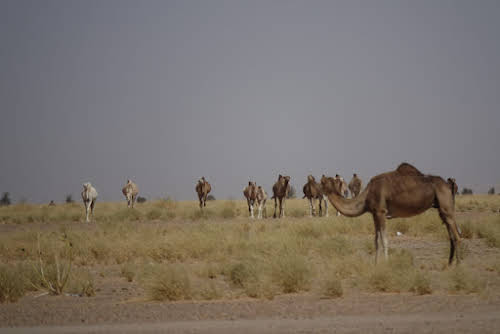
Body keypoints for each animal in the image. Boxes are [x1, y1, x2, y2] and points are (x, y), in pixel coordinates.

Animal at [320, 163, 460, 264]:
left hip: (446, 205)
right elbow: (376, 241)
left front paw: (386, 264)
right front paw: (376, 264)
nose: (319, 190)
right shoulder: (374, 214)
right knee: (451, 236)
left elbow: (384, 240)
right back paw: (448, 264)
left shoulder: (381, 212)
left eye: (323, 182)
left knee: (457, 236)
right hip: (441, 208)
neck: (367, 195)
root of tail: (448, 184)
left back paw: (458, 266)